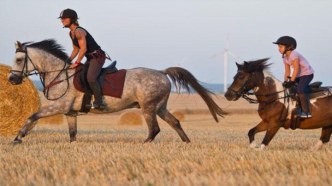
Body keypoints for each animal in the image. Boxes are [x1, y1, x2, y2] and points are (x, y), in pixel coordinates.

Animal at [8, 38, 226, 144]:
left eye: (18, 59)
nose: (11, 79)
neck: (61, 75)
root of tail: (161, 72)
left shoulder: (58, 106)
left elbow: (32, 116)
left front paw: (18, 138)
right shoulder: (70, 112)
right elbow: (72, 134)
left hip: (148, 108)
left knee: (154, 129)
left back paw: (144, 144)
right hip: (160, 107)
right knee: (175, 122)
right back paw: (187, 143)